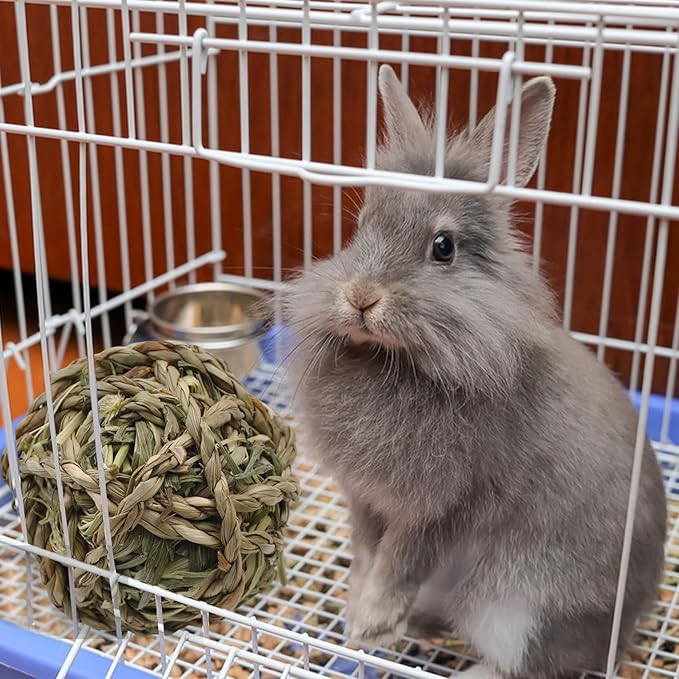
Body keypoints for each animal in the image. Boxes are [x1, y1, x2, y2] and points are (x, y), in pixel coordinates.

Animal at [280, 64, 667, 679]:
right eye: (362, 226)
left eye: (443, 247)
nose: (361, 297)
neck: (396, 361)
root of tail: (622, 630)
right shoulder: (365, 498)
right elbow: (366, 553)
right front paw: (356, 612)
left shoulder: (443, 508)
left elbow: (400, 562)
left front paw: (369, 623)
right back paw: (414, 624)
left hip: (519, 611)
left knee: (526, 665)